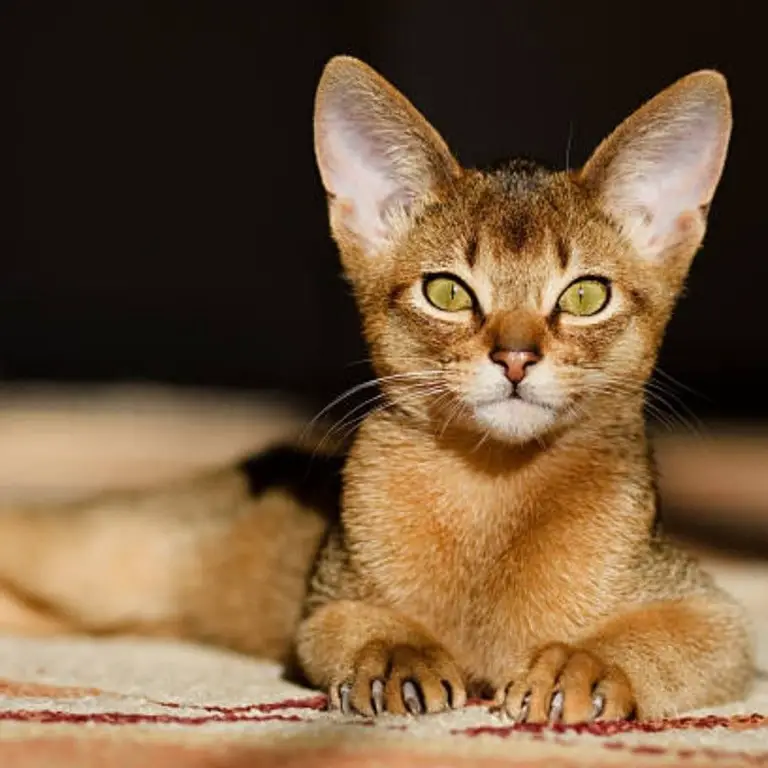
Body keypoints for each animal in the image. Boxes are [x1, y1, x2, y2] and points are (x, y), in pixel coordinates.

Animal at [0, 57, 752, 724]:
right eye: (446, 292)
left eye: (586, 296)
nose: (515, 357)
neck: (496, 496)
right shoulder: (326, 607)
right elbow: (367, 626)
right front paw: (399, 660)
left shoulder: (721, 621)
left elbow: (656, 639)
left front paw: (585, 669)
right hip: (104, 554)